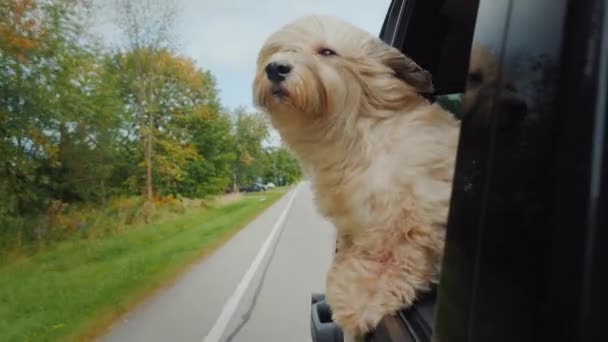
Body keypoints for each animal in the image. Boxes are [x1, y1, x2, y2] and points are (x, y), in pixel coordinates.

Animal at [254, 16, 458, 336]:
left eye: (326, 52)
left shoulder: (414, 212)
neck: (360, 133)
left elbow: (397, 253)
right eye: (279, 50)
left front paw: (361, 297)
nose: (275, 68)